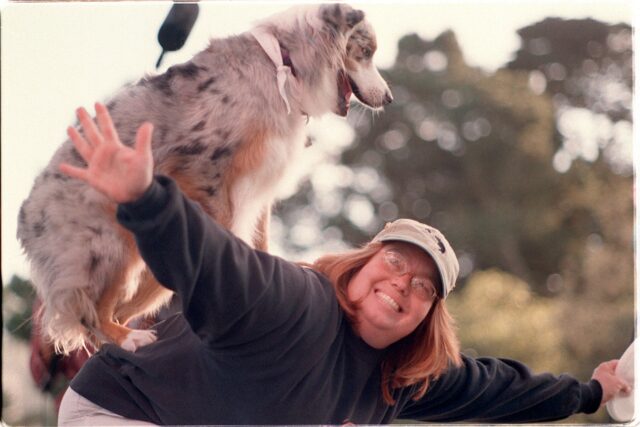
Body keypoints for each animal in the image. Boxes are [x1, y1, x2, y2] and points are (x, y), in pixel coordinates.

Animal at [17, 3, 392, 354]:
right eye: (365, 52)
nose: (388, 98)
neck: (283, 65)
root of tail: (26, 217)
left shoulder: (260, 186)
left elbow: (260, 238)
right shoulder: (205, 166)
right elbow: (227, 229)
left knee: (121, 309)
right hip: (107, 246)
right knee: (92, 312)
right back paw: (126, 338)